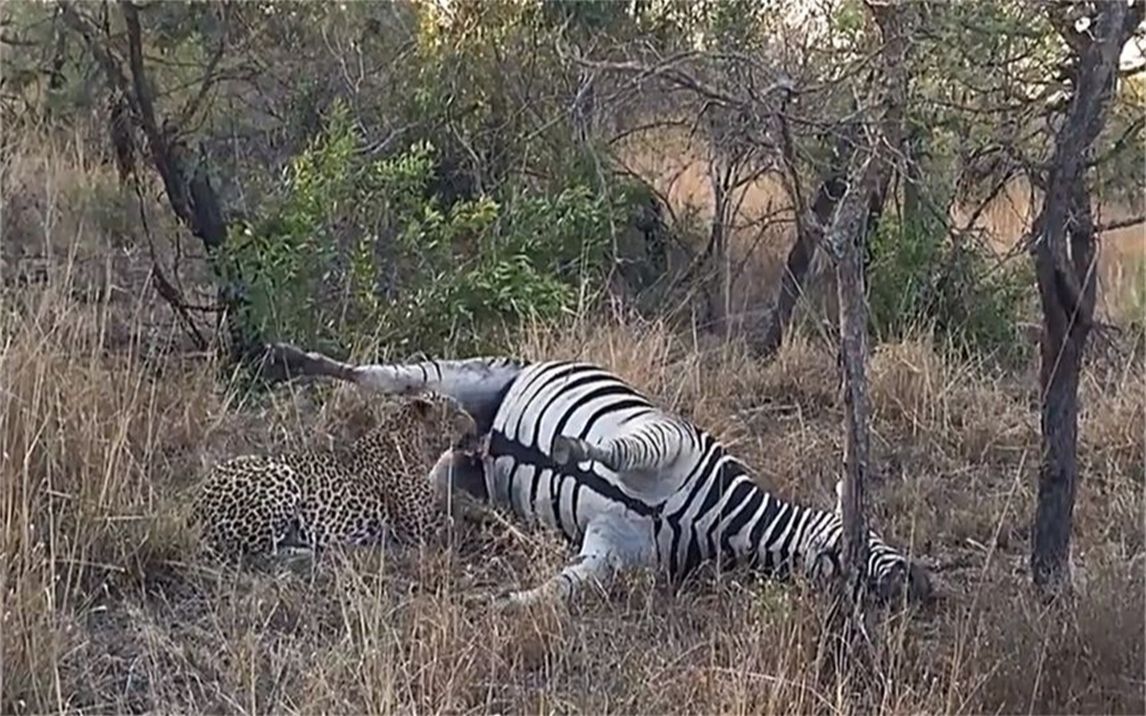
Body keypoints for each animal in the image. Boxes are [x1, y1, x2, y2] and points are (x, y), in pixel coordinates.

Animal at [189, 391, 492, 563]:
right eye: (457, 412)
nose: (478, 424)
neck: (415, 441)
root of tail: (197, 506)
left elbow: (458, 505)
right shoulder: (419, 524)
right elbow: (456, 520)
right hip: (281, 476)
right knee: (255, 551)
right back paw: (311, 551)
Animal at [263, 341, 925, 609]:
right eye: (873, 540)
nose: (924, 586)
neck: (719, 521)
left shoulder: (613, 552)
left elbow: (563, 588)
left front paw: (504, 602)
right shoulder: (669, 439)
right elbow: (619, 451)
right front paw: (568, 445)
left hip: (458, 469)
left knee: (447, 479)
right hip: (462, 374)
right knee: (384, 376)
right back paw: (290, 358)